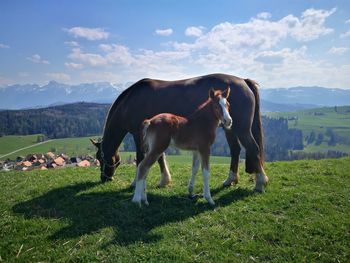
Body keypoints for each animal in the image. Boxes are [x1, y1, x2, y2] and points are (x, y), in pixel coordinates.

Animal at [90, 73, 268, 193]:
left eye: (100, 157)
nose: (104, 178)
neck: (130, 102)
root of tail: (244, 81)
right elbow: (160, 157)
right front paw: (164, 180)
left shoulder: (137, 134)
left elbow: (141, 158)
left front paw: (135, 182)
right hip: (229, 127)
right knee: (235, 150)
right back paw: (230, 179)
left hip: (241, 128)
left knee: (253, 148)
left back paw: (260, 182)